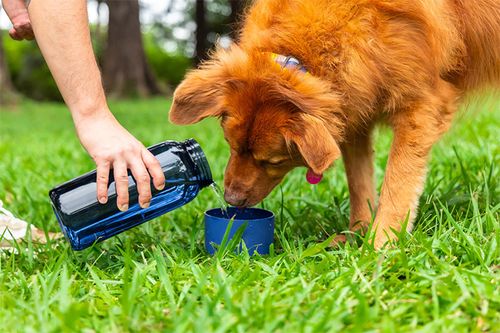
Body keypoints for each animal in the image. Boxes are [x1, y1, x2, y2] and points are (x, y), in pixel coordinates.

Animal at [169, 0, 500, 249]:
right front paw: (357, 233)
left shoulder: (422, 105)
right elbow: (359, 181)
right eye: (232, 145)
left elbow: (398, 180)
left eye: (273, 161)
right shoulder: (354, 109)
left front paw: (381, 244)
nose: (231, 200)